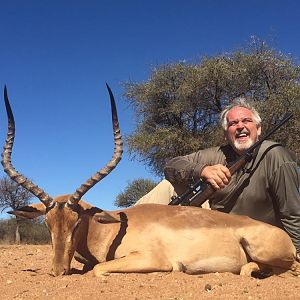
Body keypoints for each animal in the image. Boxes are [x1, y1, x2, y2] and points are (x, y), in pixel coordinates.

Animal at [2, 83, 300, 278]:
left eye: (76, 223)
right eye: (48, 224)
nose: (57, 272)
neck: (111, 228)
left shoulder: (148, 258)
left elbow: (97, 269)